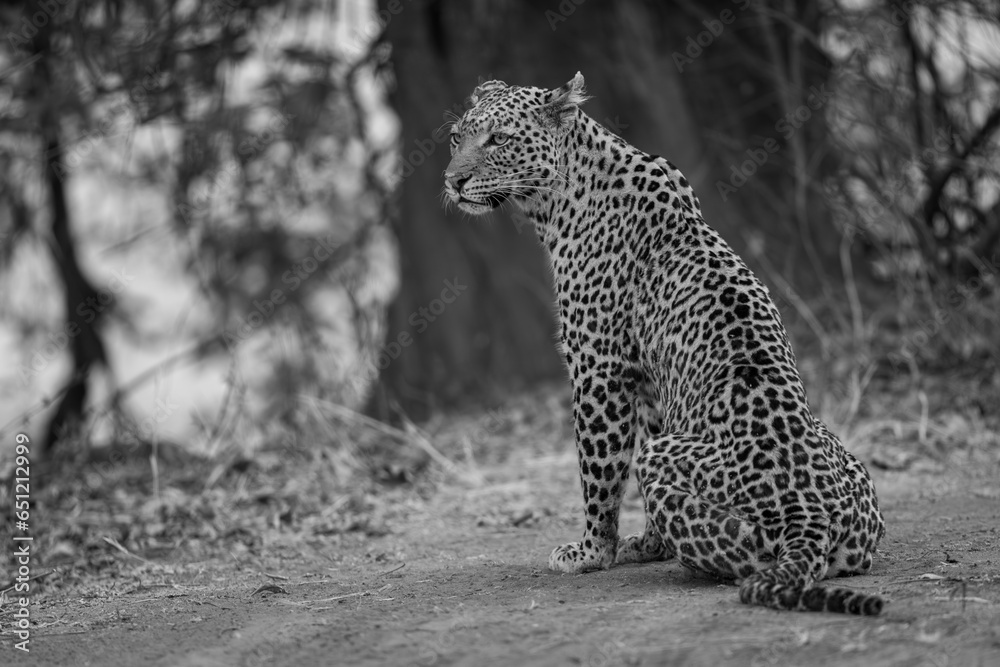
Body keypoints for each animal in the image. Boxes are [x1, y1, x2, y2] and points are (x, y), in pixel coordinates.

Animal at [442, 72, 886, 615]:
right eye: (456, 138)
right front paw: (647, 545)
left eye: (499, 140)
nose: (453, 181)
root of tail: (812, 517)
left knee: (740, 553)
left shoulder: (599, 369)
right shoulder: (651, 379)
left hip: (678, 469)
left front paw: (591, 552)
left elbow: (600, 470)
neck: (558, 201)